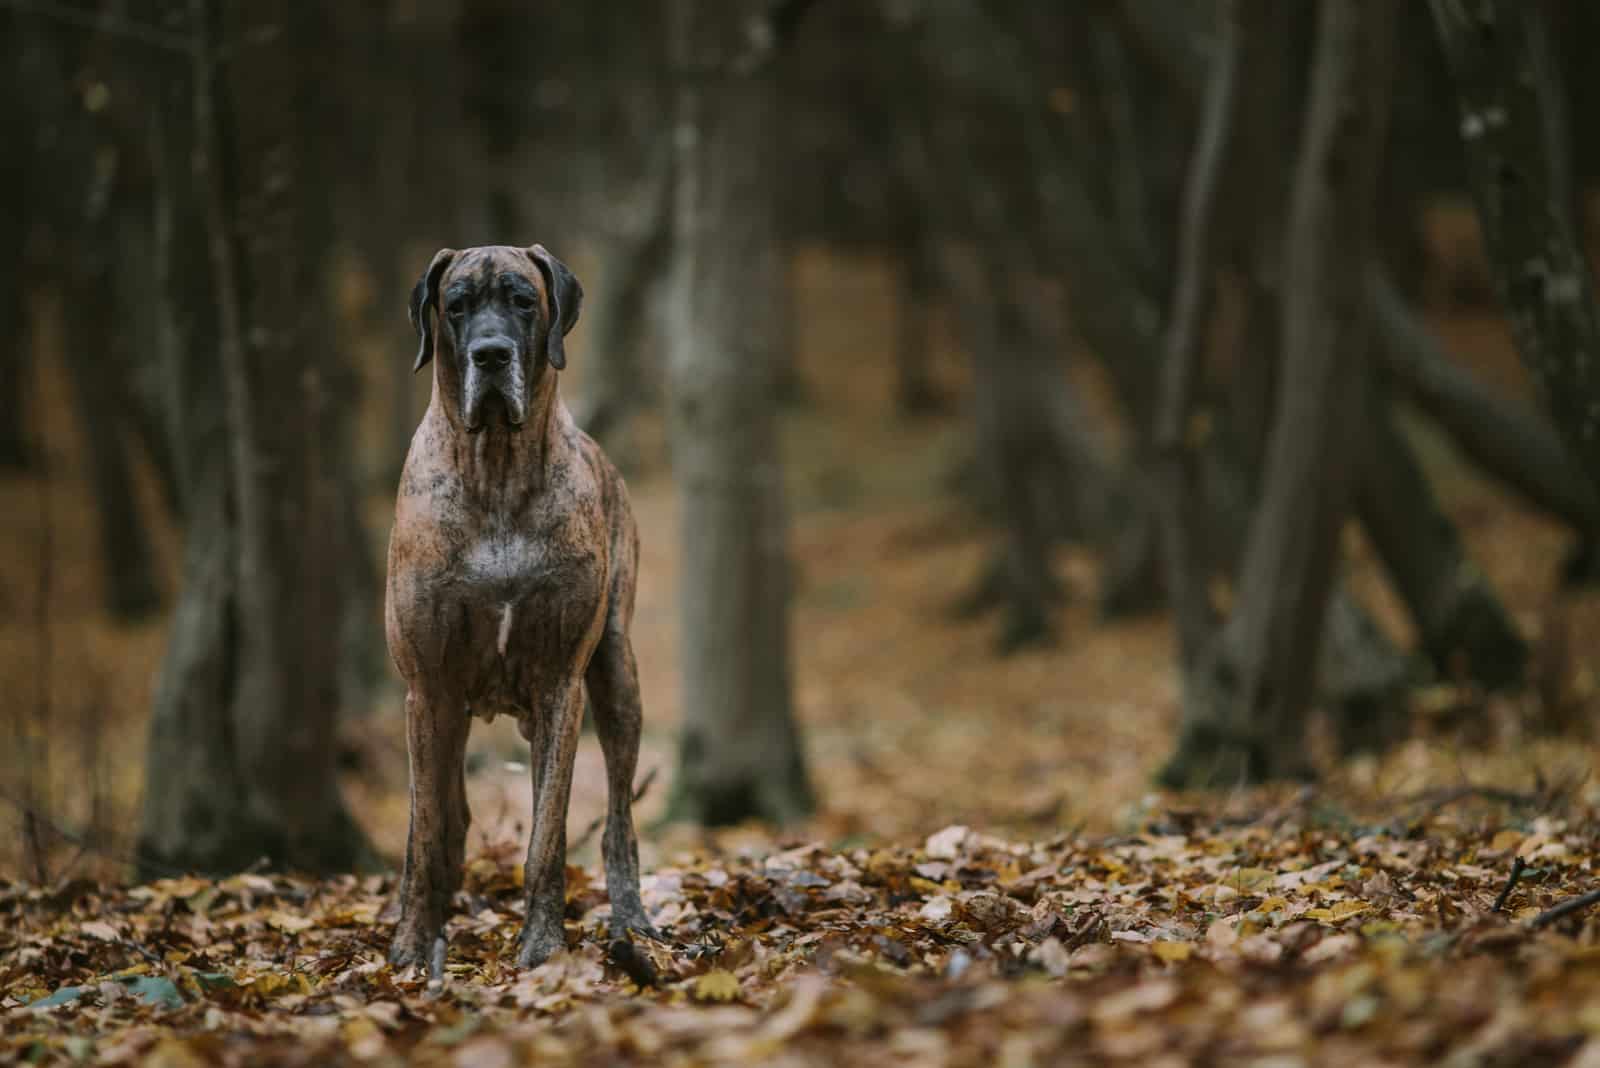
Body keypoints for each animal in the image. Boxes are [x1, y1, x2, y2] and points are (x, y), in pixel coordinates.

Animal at [384, 244, 652, 978]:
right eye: (455, 307)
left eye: (524, 302)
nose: (491, 354)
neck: (496, 467)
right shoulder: (427, 689)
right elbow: (425, 835)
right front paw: (413, 946)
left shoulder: (562, 684)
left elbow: (547, 837)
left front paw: (542, 945)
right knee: (443, 818)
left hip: (616, 676)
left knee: (618, 822)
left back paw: (633, 923)